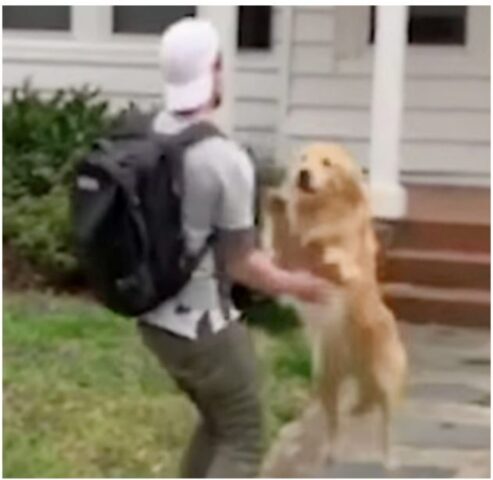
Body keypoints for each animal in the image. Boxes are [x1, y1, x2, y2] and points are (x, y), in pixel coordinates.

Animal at [264, 143, 406, 468]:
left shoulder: (346, 257)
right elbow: (278, 242)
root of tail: (357, 370)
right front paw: (275, 200)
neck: (319, 212)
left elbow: (341, 257)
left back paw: (389, 460)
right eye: (303, 159)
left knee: (387, 423)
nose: (303, 174)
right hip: (326, 382)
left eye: (326, 163)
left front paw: (334, 256)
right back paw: (330, 453)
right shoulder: (288, 259)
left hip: (387, 379)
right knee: (335, 423)